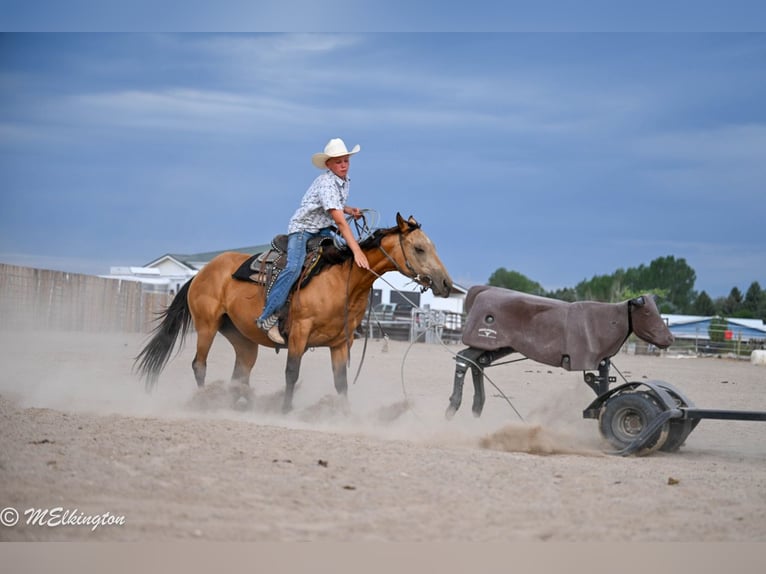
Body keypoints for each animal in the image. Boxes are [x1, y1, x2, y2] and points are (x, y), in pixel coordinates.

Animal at [134, 213, 453, 413]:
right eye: (419, 248)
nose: (445, 283)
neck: (342, 280)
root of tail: (202, 273)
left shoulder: (341, 342)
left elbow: (341, 382)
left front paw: (344, 413)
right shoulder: (300, 333)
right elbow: (292, 372)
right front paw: (286, 409)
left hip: (243, 339)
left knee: (240, 373)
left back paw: (240, 403)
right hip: (207, 325)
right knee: (199, 365)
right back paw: (205, 401)